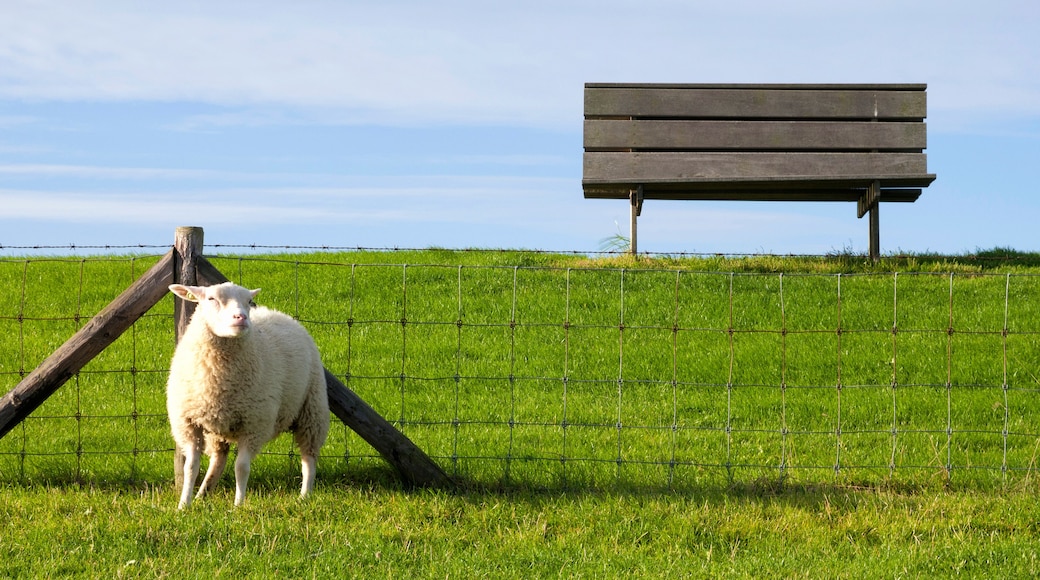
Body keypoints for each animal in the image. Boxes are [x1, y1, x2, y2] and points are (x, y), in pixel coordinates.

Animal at [166, 282, 330, 509]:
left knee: (309, 457)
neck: (219, 378)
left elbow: (241, 467)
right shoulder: (188, 424)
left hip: (313, 407)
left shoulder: (254, 424)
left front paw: (238, 505)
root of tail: (277, 312)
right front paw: (184, 505)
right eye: (211, 299)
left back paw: (304, 495)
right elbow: (190, 467)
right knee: (218, 459)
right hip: (218, 430)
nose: (241, 317)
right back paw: (202, 494)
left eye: (249, 301)